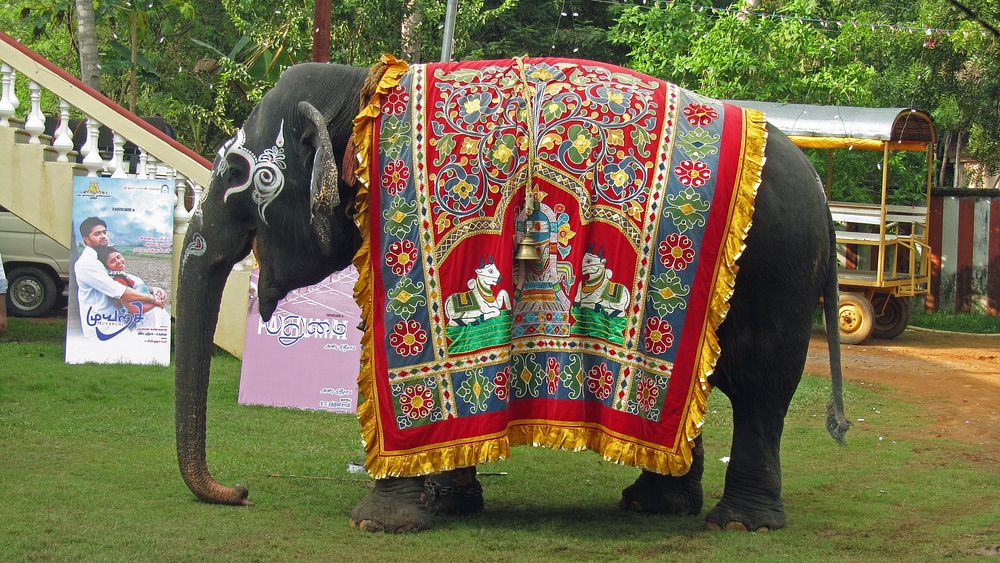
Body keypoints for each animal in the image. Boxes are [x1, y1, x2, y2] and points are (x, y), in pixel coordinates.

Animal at [176, 59, 848, 536]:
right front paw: (449, 505)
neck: (360, 86)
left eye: (241, 177)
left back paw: (739, 523)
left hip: (779, 274)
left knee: (761, 388)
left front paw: (380, 523)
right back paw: (654, 505)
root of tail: (823, 195)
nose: (239, 492)